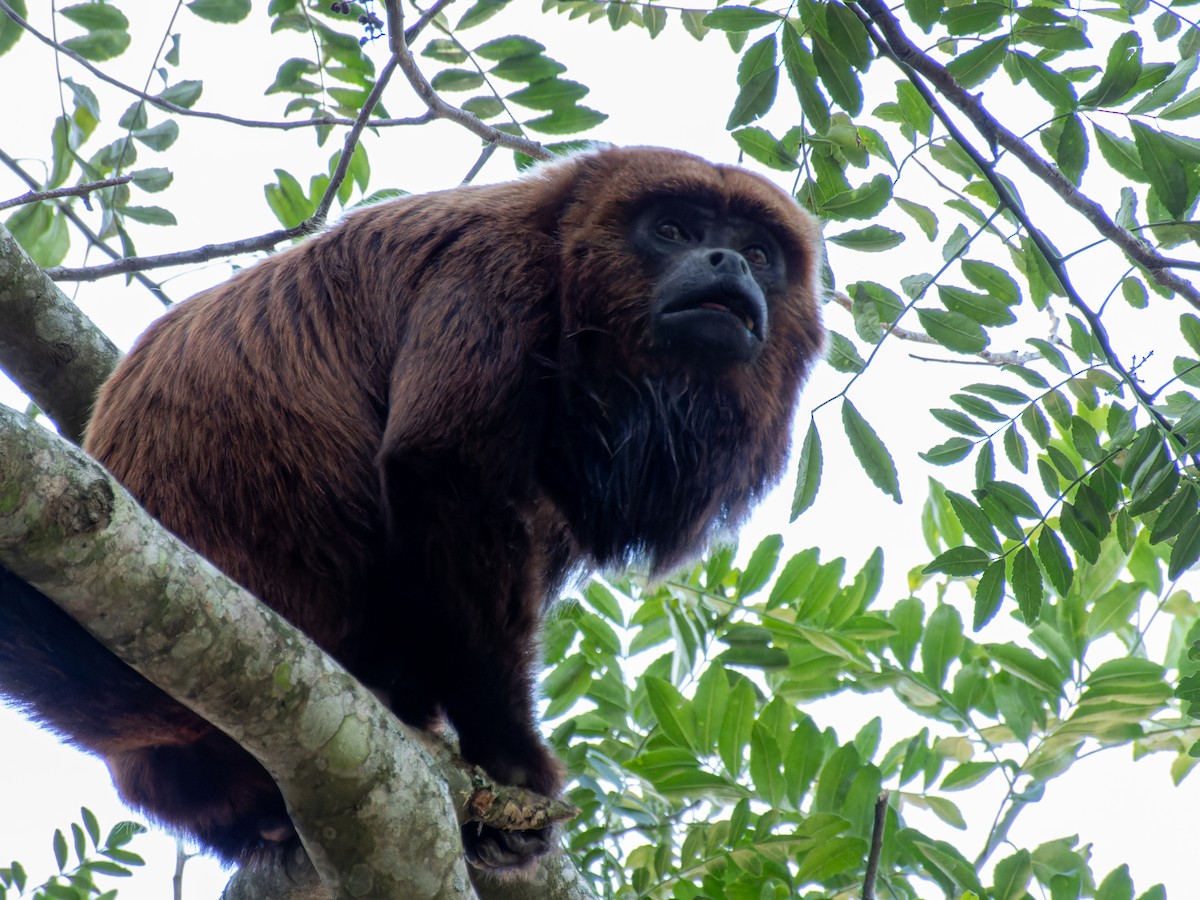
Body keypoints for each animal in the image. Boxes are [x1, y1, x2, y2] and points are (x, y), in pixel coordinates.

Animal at [0, 146, 825, 872]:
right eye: (674, 230)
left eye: (758, 250)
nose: (728, 263)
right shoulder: (496, 273)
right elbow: (443, 468)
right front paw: (511, 763)